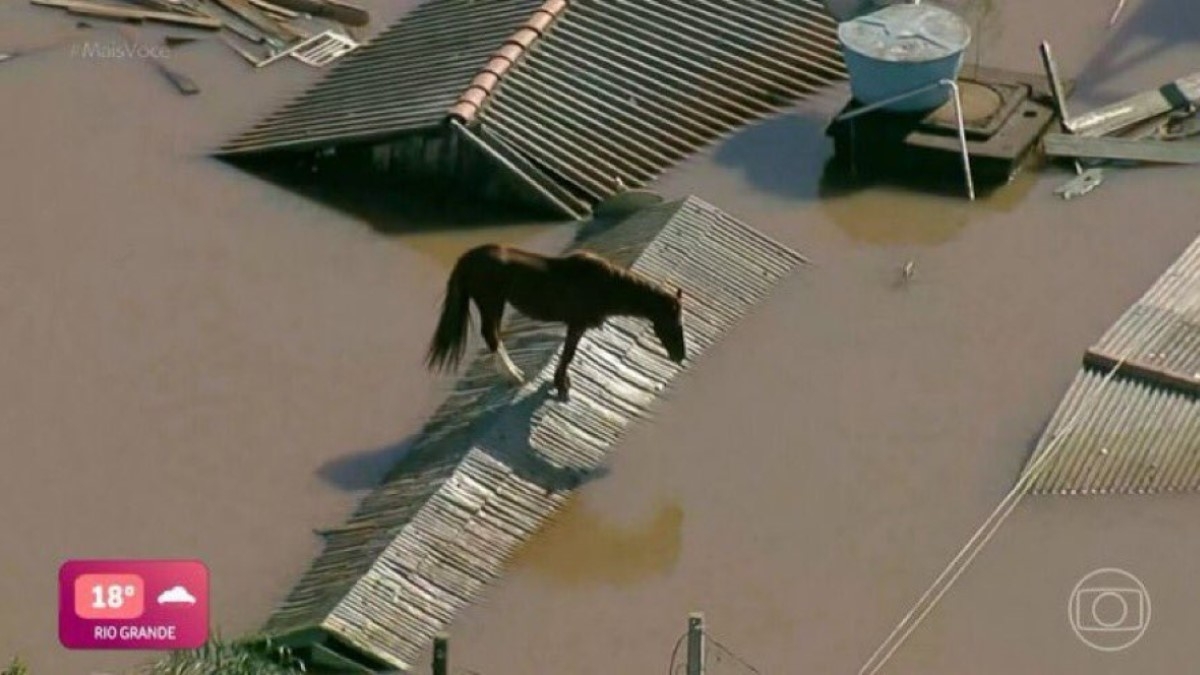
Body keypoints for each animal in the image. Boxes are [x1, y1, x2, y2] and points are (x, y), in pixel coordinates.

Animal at [424, 246, 686, 393]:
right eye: (675, 323)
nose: (680, 356)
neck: (605, 286)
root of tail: (468, 258)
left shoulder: (576, 325)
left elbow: (568, 354)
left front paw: (561, 382)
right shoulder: (577, 324)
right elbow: (569, 354)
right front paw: (561, 385)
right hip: (491, 302)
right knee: (491, 335)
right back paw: (515, 376)